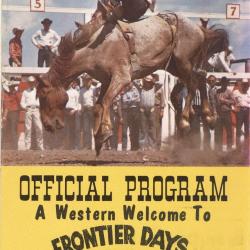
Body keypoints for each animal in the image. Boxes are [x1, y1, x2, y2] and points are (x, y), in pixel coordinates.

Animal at [35, 1, 229, 154]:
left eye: (44, 96)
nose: (48, 125)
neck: (94, 47)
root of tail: (199, 29)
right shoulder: (106, 80)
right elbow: (98, 106)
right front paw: (98, 140)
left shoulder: (121, 78)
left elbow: (106, 101)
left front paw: (105, 132)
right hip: (176, 65)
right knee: (200, 78)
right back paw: (208, 117)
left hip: (183, 61)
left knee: (193, 83)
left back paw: (185, 121)